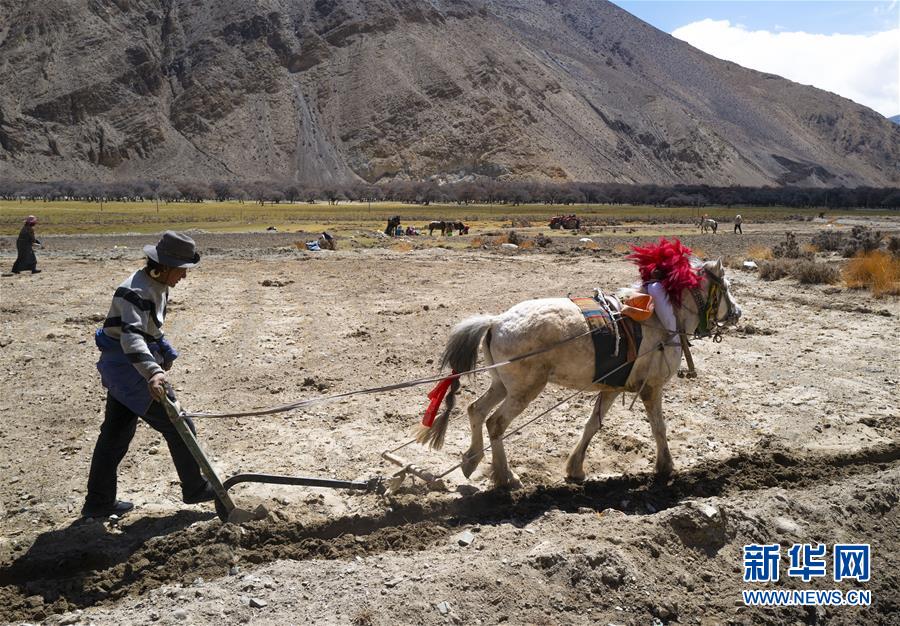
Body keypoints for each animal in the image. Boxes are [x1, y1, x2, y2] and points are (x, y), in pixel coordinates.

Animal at [417, 258, 741, 488]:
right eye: (725, 287)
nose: (737, 313)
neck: (662, 320)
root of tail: (496, 321)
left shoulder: (611, 388)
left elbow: (591, 426)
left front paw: (575, 469)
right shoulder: (652, 388)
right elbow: (658, 427)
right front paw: (665, 467)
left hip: (502, 385)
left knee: (476, 410)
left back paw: (471, 461)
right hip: (524, 391)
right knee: (495, 423)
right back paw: (506, 478)